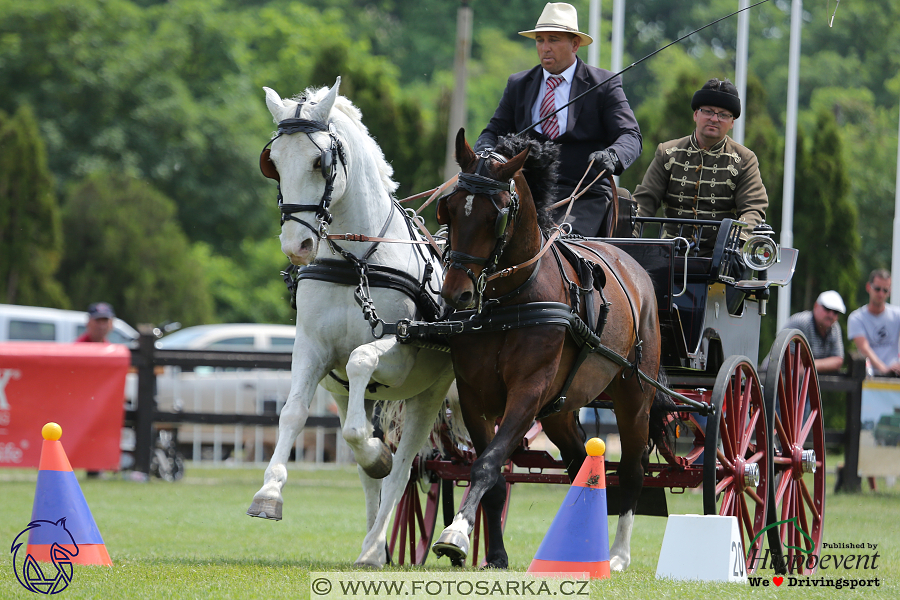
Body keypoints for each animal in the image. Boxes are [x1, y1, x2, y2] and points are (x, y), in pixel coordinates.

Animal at [246, 78, 454, 568]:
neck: (357, 262)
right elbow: (293, 413)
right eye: (273, 162)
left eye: (320, 161)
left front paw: (376, 453)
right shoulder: (312, 350)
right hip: (349, 395)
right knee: (375, 472)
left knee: (408, 466)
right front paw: (269, 493)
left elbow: (361, 363)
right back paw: (373, 546)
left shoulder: (398, 350)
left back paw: (383, 543)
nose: (297, 245)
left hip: (432, 394)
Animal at [432, 129, 672, 568]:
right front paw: (494, 555)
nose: (457, 294)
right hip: (561, 408)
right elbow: (492, 475)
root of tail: (633, 266)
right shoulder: (474, 396)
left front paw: (455, 534)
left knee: (632, 471)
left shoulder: (528, 392)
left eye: (495, 216)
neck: (509, 301)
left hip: (635, 397)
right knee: (581, 463)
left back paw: (617, 555)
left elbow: (487, 465)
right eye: (450, 210)